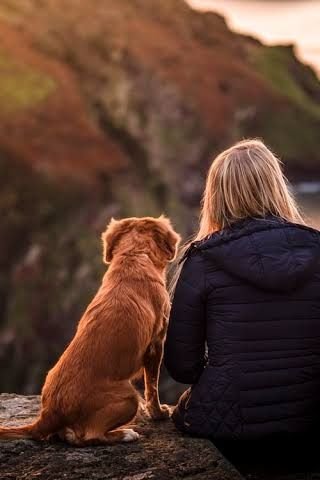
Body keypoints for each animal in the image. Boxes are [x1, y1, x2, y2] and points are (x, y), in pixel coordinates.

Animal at [0, 216, 180, 444]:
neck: (133, 256)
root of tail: (48, 414)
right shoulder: (156, 343)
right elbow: (152, 386)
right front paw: (159, 414)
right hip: (129, 395)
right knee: (90, 436)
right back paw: (125, 433)